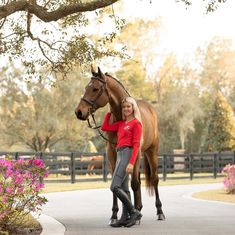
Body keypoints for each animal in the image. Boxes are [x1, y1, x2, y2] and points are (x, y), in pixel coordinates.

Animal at [75, 66, 165, 224]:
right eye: (86, 87)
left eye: (95, 89)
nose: (79, 112)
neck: (121, 118)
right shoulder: (112, 152)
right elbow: (117, 183)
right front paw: (115, 215)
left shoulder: (135, 153)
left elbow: (134, 183)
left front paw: (134, 215)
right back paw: (138, 208)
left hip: (151, 151)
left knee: (154, 179)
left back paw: (159, 211)